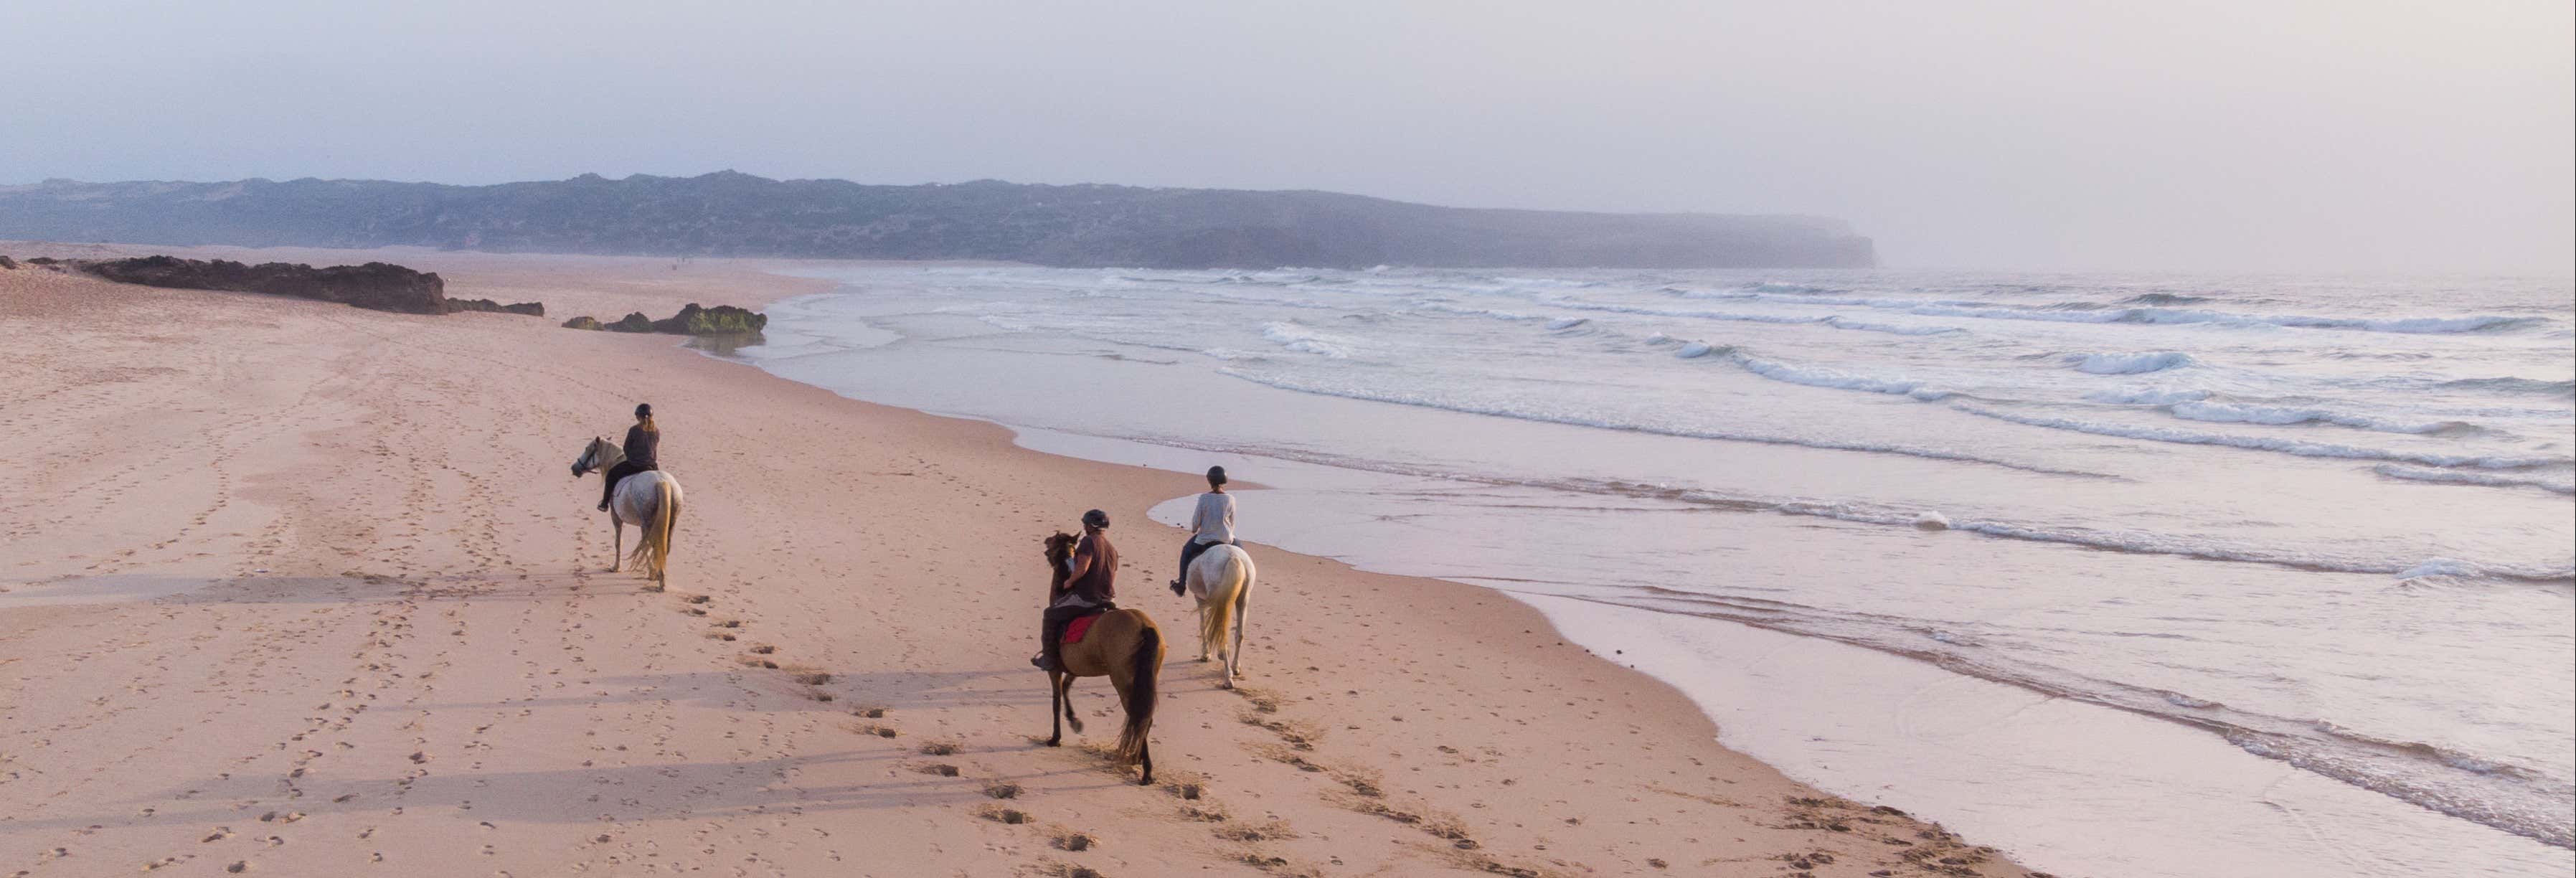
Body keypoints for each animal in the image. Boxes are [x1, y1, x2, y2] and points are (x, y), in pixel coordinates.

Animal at [567, 435, 680, 587]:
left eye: (587, 448)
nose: (574, 468)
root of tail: (662, 482)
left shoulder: (616, 517)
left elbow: (618, 542)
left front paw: (616, 567)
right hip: (669, 523)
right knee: (662, 546)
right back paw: (660, 576)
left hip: (647, 524)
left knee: (647, 545)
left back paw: (654, 575)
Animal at [1045, 527, 1169, 778]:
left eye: (1053, 541)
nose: (1045, 542)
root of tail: (1144, 626)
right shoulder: (1076, 666)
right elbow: (1066, 688)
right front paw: (1074, 721)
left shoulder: (1055, 669)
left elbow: (1056, 698)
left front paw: (1055, 738)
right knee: (1144, 717)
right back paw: (1137, 760)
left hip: (1123, 681)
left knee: (1137, 715)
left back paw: (1145, 771)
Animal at [1179, 540, 1252, 684]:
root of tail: (1233, 556)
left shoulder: (1201, 600)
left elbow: (1204, 626)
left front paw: (1206, 654)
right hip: (1243, 599)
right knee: (1238, 634)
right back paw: (1235, 667)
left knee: (1221, 631)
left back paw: (1228, 677)